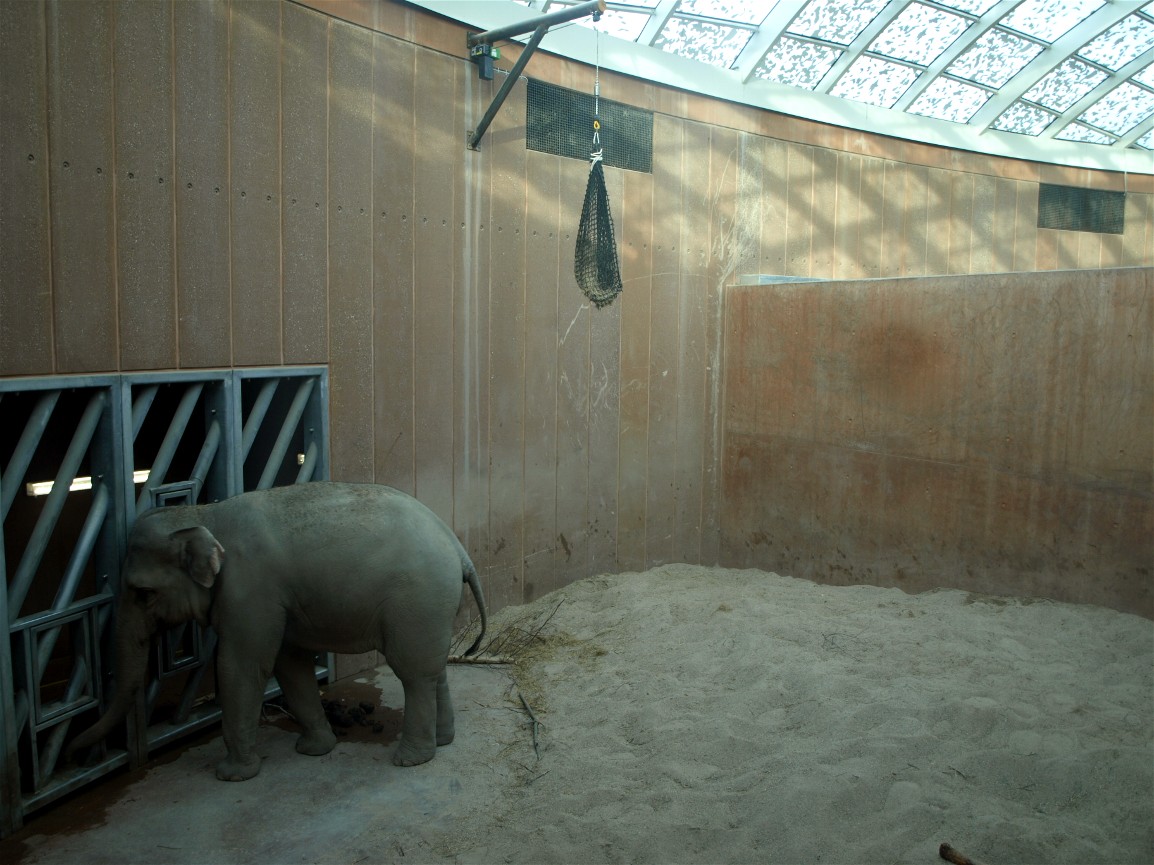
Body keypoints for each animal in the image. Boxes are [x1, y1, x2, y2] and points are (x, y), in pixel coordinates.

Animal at [67, 481, 487, 781]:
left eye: (143, 592)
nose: (75, 747)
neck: (204, 515)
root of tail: (459, 549)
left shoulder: (249, 593)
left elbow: (242, 666)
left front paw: (232, 775)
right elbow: (289, 665)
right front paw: (313, 750)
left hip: (415, 599)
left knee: (412, 672)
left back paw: (410, 760)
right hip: (429, 606)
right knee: (432, 670)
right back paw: (442, 741)